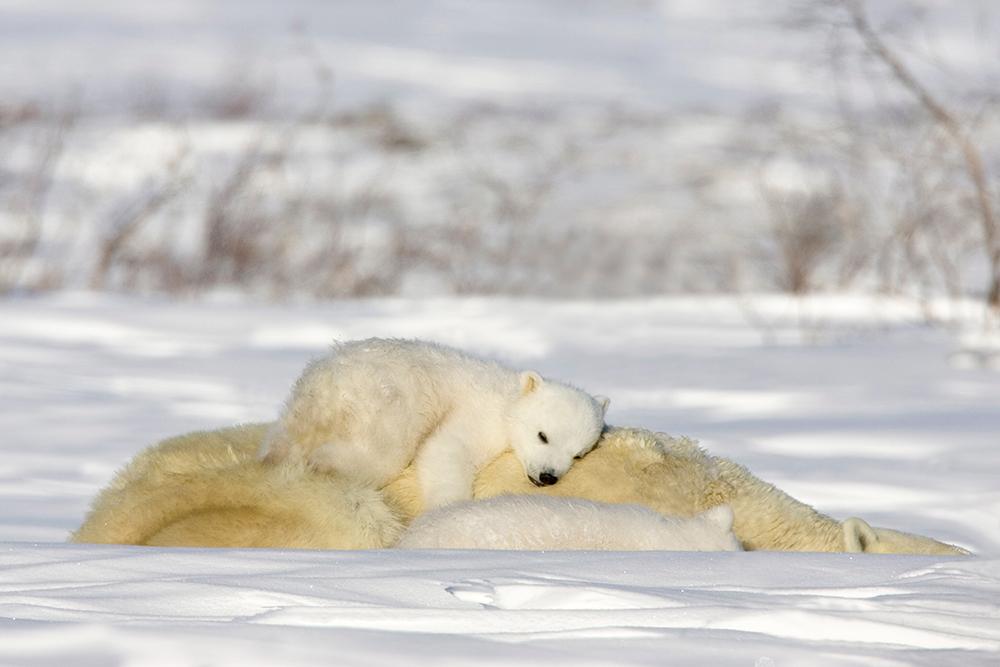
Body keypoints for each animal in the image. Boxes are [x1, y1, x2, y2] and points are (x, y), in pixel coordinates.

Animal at [260, 338, 609, 509]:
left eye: (578, 454)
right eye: (543, 435)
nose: (548, 476)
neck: (508, 397)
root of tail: (327, 382)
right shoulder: (478, 414)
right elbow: (447, 447)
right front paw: (449, 505)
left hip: (305, 406)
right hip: (389, 399)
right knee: (384, 450)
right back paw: (325, 464)